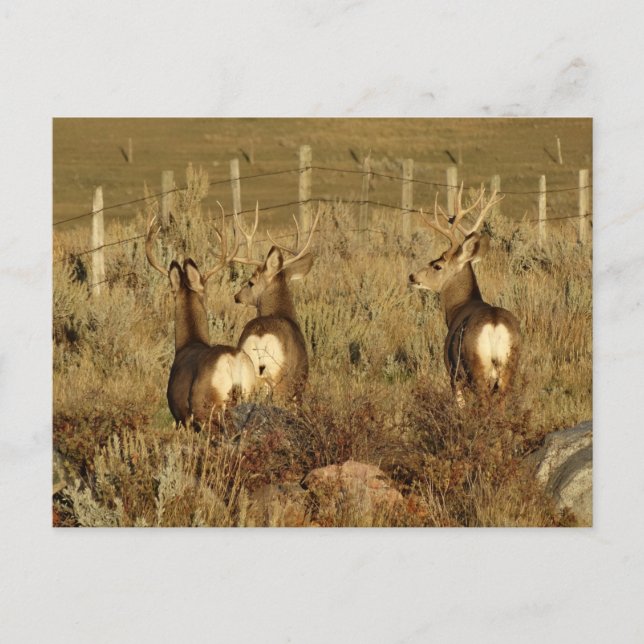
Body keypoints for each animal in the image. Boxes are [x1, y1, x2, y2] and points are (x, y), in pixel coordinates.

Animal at [408, 185, 521, 407]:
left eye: (437, 265)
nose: (412, 276)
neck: (459, 307)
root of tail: (495, 324)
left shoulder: (452, 372)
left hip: (476, 366)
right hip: (509, 366)